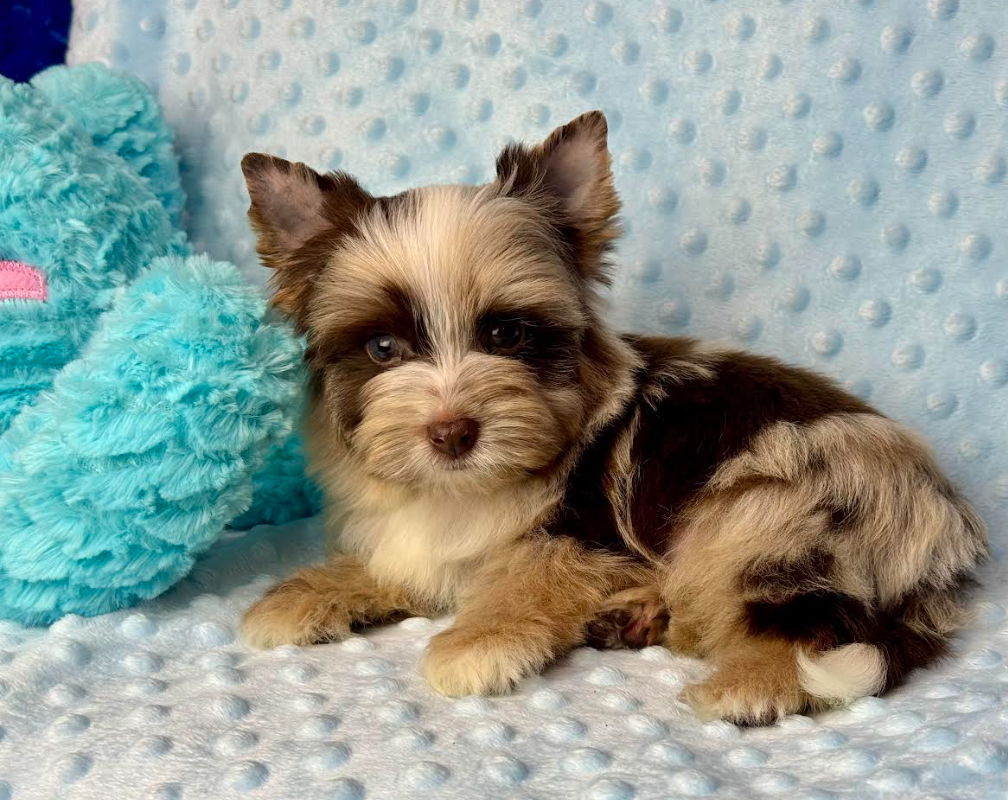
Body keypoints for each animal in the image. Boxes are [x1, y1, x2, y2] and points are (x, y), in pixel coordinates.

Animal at [239, 111, 987, 724]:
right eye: (383, 349)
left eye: (505, 336)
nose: (451, 434)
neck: (467, 485)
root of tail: (946, 526)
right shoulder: (422, 537)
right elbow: (402, 562)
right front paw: (304, 594)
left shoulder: (585, 531)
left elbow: (535, 572)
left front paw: (477, 640)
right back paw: (642, 617)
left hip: (774, 513)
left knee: (804, 624)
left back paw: (746, 685)